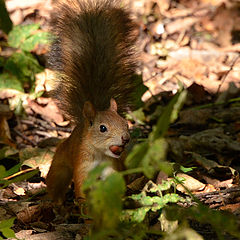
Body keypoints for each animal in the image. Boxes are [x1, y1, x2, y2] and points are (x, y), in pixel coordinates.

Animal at [45, 0, 138, 204]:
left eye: (125, 123)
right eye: (102, 128)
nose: (125, 138)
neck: (100, 155)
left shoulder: (113, 168)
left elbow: (116, 185)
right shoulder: (82, 166)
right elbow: (81, 187)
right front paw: (83, 204)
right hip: (61, 161)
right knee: (57, 179)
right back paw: (55, 202)